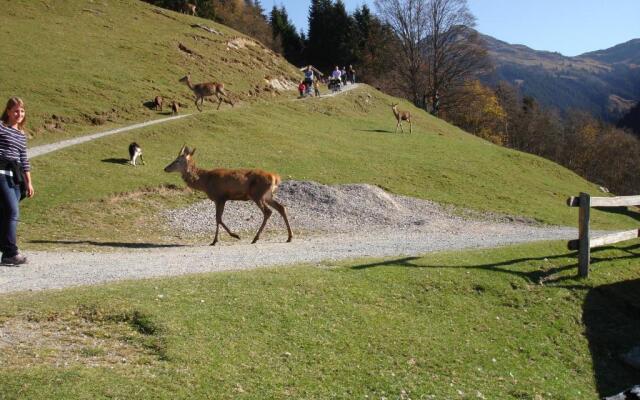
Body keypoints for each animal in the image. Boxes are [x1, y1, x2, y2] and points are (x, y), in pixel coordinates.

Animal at [165, 145, 296, 245]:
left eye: (177, 160)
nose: (165, 168)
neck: (205, 182)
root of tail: (275, 177)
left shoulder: (219, 197)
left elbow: (218, 218)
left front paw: (226, 238)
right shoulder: (222, 198)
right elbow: (218, 218)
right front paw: (220, 239)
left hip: (257, 194)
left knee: (268, 212)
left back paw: (255, 238)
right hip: (267, 195)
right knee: (281, 207)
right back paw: (289, 237)